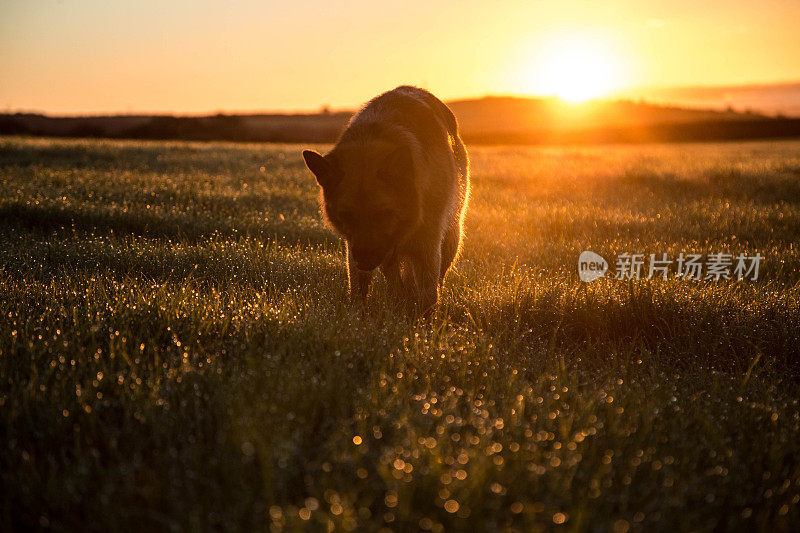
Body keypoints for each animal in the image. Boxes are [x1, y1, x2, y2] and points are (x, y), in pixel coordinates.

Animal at [304, 85, 468, 314]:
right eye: (346, 215)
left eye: (383, 214)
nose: (364, 262)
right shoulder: (354, 246)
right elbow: (360, 288)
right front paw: (358, 314)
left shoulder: (427, 245)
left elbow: (428, 294)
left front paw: (424, 320)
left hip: (452, 237)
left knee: (436, 276)